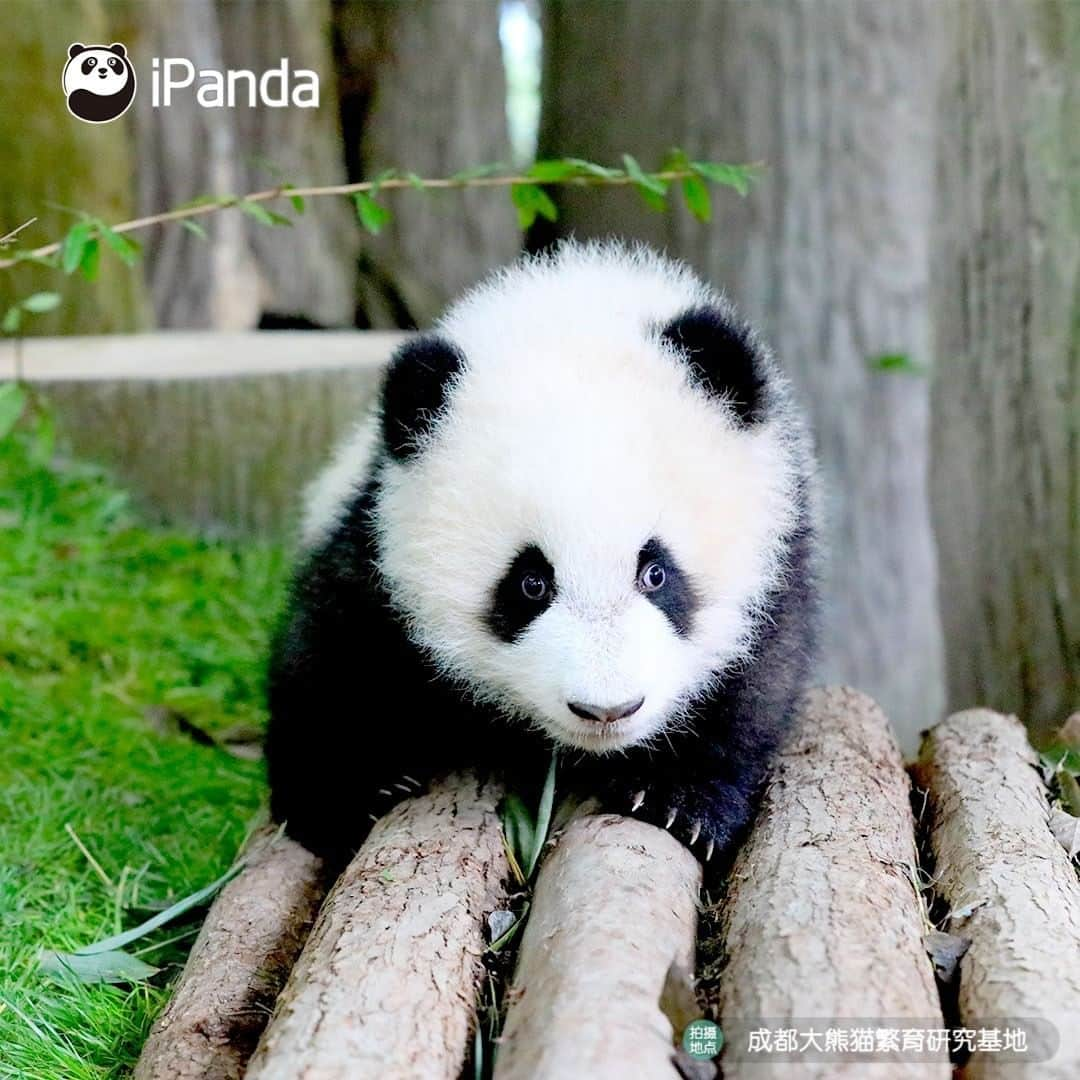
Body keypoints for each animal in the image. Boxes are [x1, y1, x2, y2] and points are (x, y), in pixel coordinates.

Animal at [263, 243, 816, 868]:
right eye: (531, 584)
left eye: (655, 573)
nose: (606, 711)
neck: (562, 307)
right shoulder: (375, 535)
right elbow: (331, 655)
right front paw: (350, 798)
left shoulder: (779, 545)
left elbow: (758, 678)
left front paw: (676, 801)